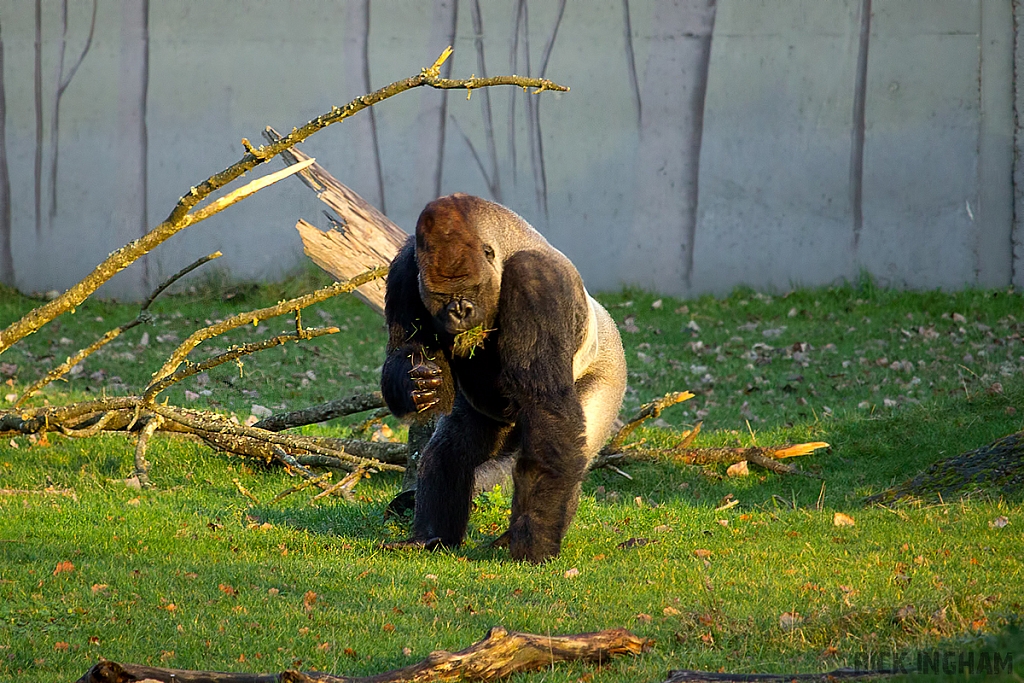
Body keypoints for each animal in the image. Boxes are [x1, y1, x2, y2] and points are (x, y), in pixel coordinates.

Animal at [382, 194, 626, 565]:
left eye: (469, 285)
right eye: (441, 294)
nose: (459, 311)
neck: (503, 241)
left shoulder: (536, 281)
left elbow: (546, 407)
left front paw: (534, 543)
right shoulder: (405, 270)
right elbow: (403, 350)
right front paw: (413, 384)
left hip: (609, 375)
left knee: (566, 450)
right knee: (450, 449)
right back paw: (430, 536)